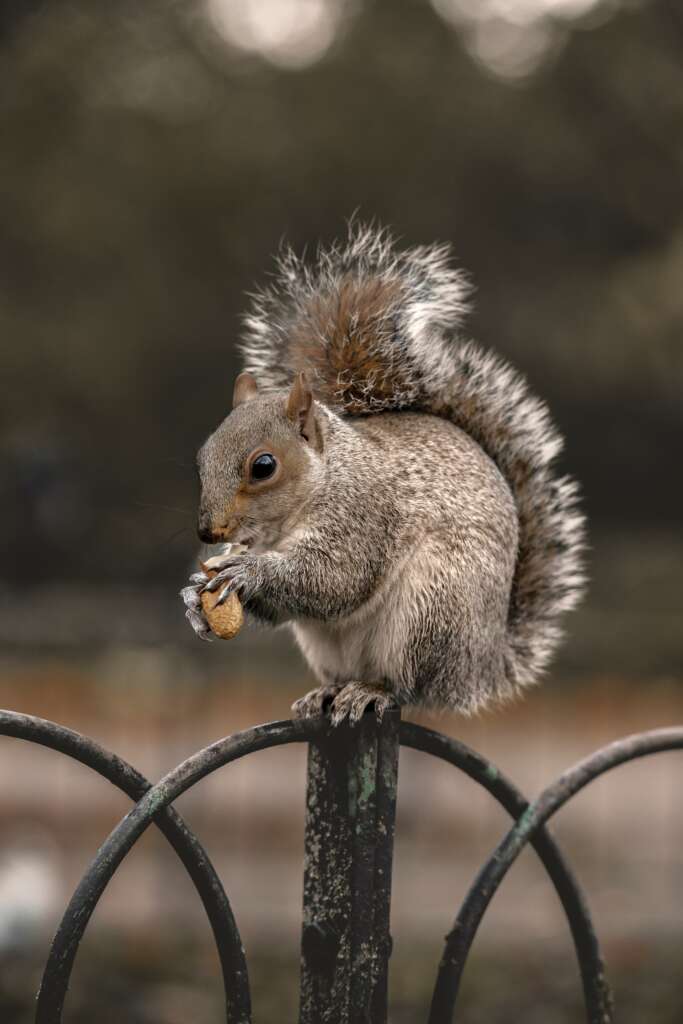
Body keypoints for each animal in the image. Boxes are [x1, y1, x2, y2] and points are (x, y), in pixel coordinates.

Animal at [181, 224, 585, 725]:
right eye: (202, 456)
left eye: (263, 466)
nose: (207, 531)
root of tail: (482, 666)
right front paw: (194, 595)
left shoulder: (364, 515)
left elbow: (334, 577)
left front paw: (246, 570)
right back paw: (326, 693)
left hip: (432, 610)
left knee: (409, 685)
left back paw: (372, 691)